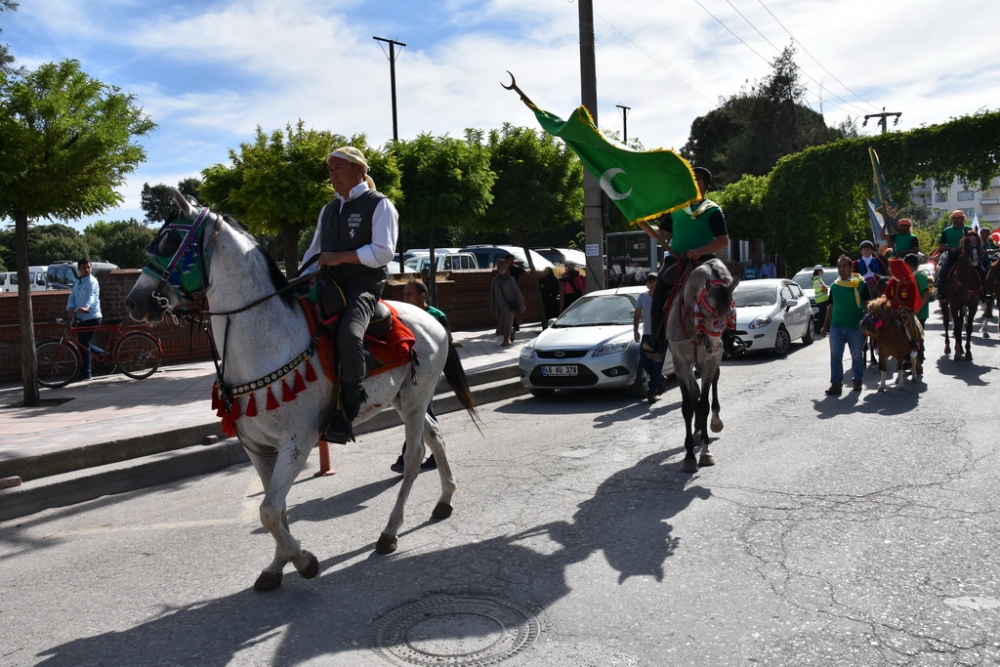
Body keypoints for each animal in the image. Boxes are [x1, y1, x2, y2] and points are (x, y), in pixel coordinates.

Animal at [125, 190, 476, 592]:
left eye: (168, 241)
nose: (134, 301)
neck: (264, 339)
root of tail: (432, 318)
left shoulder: (298, 441)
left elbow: (267, 511)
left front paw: (303, 560)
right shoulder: (258, 448)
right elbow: (276, 510)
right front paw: (278, 565)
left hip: (417, 402)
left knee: (416, 454)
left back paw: (390, 531)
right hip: (405, 400)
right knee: (436, 437)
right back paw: (445, 499)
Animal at [668, 258, 740, 472]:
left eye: (730, 313)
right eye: (706, 314)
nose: (716, 346)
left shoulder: (709, 363)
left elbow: (704, 405)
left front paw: (704, 451)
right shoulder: (681, 364)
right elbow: (688, 407)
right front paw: (689, 455)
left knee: (713, 384)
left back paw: (714, 422)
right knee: (694, 391)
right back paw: (697, 430)